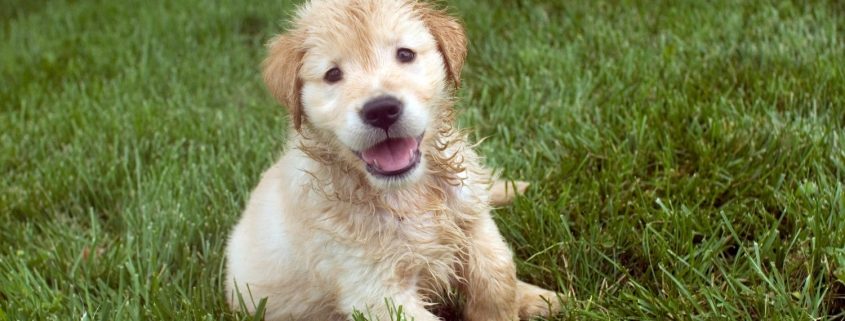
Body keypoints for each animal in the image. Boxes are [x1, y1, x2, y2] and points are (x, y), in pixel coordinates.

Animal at [224, 0, 560, 320]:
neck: (407, 193)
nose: (381, 110)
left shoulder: (473, 220)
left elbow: (498, 274)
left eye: (405, 54)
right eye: (333, 74)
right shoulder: (375, 290)